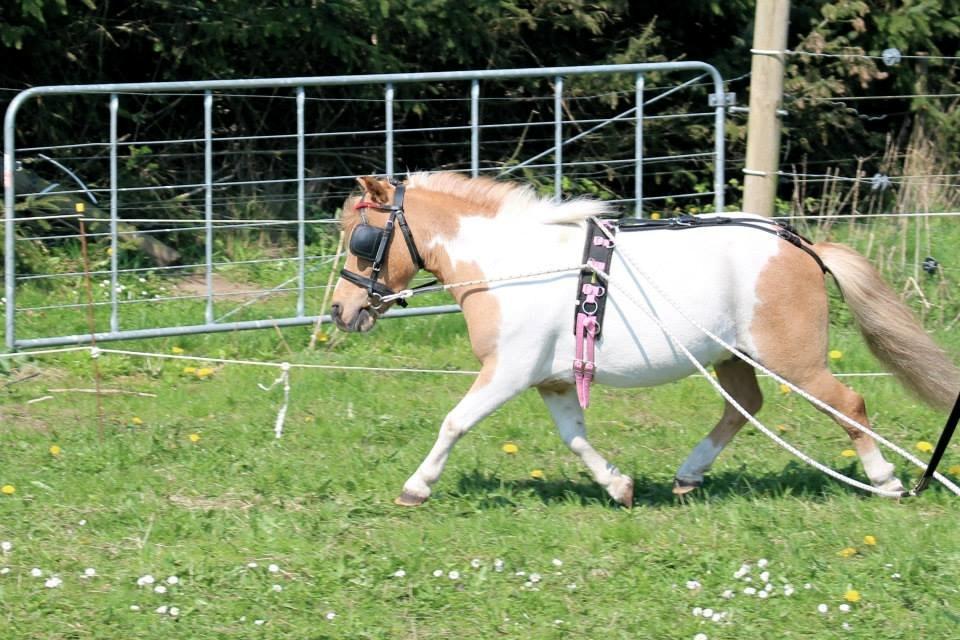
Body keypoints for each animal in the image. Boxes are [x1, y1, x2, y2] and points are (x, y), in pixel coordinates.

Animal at [332, 172, 960, 508]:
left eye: (362, 239)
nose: (342, 310)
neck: (509, 266)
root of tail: (801, 245)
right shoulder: (552, 379)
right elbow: (576, 438)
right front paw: (619, 486)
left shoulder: (508, 371)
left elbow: (454, 423)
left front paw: (416, 487)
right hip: (731, 354)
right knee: (745, 405)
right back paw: (688, 474)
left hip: (795, 361)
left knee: (848, 405)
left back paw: (887, 481)